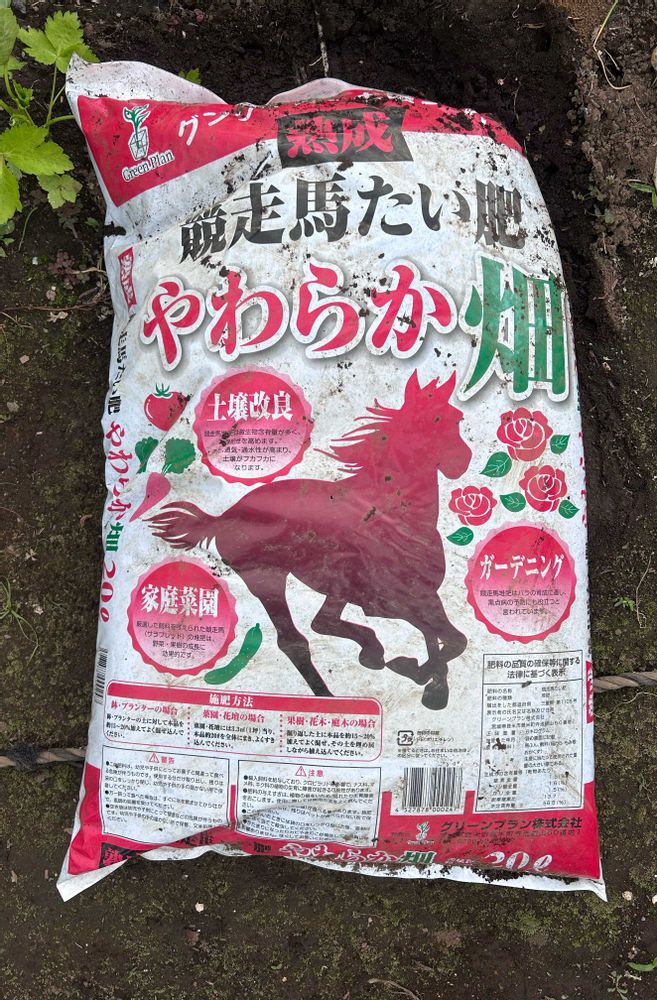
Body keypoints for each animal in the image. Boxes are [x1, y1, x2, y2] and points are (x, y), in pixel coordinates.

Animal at [148, 369, 472, 709]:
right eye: (434, 420)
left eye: (457, 418)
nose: (460, 462)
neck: (396, 517)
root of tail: (222, 517)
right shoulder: (398, 600)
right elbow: (453, 640)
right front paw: (419, 675)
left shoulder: (422, 597)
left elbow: (441, 640)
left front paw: (429, 683)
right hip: (267, 578)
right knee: (296, 640)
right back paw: (334, 691)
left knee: (322, 622)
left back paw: (371, 655)